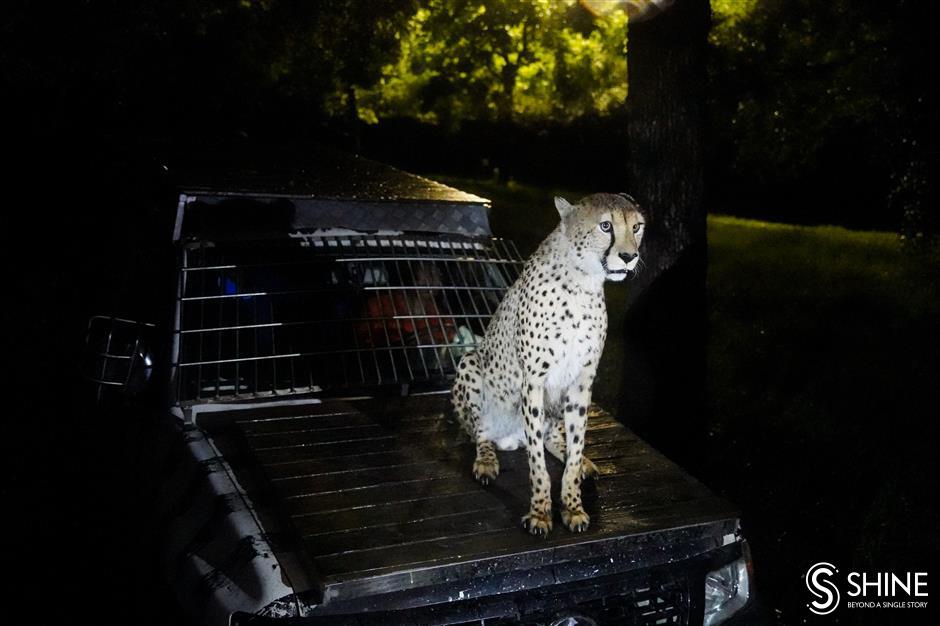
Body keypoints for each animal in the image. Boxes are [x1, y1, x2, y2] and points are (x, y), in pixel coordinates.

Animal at [450, 193, 644, 532]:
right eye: (606, 226)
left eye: (637, 227)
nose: (629, 256)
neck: (583, 281)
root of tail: (508, 439)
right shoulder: (534, 381)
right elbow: (537, 462)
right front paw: (540, 512)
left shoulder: (581, 382)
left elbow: (576, 442)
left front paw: (573, 505)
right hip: (471, 363)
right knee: (481, 432)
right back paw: (486, 460)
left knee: (555, 436)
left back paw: (580, 461)